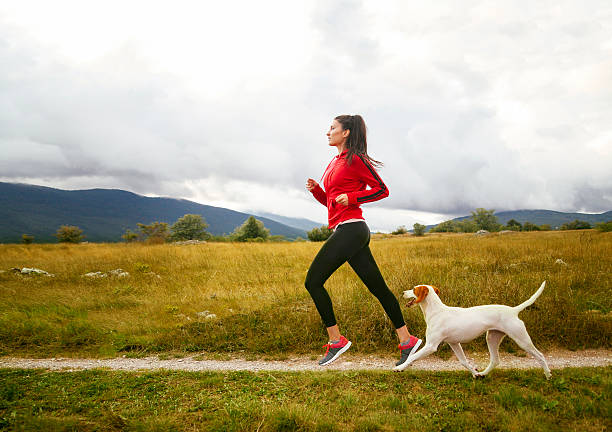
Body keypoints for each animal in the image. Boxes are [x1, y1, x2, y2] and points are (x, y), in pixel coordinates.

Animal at [400, 280, 552, 378]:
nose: (402, 292)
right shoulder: (454, 343)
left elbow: (412, 356)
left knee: (540, 355)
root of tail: (513, 310)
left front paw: (399, 368)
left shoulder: (431, 346)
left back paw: (548, 375)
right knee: (495, 360)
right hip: (492, 338)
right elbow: (464, 361)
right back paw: (483, 374)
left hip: (521, 339)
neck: (437, 311)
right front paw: (475, 373)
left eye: (414, 289)